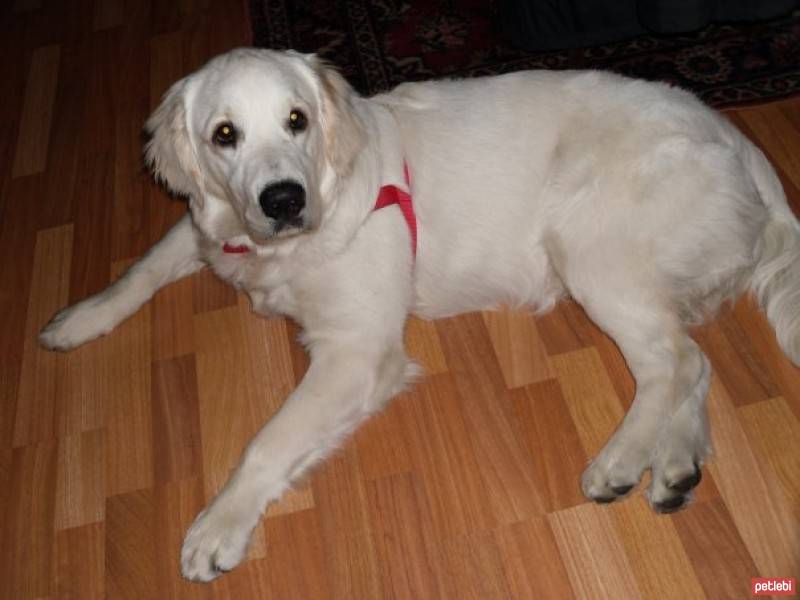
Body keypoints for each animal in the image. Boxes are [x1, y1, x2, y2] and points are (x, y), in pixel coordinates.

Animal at [40, 48, 800, 580]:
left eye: (297, 120)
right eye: (224, 134)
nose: (283, 199)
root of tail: (734, 136)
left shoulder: (359, 350)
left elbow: (268, 440)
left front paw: (219, 524)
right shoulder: (208, 228)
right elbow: (139, 271)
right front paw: (77, 319)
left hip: (593, 249)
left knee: (673, 362)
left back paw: (619, 461)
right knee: (693, 364)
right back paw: (673, 467)